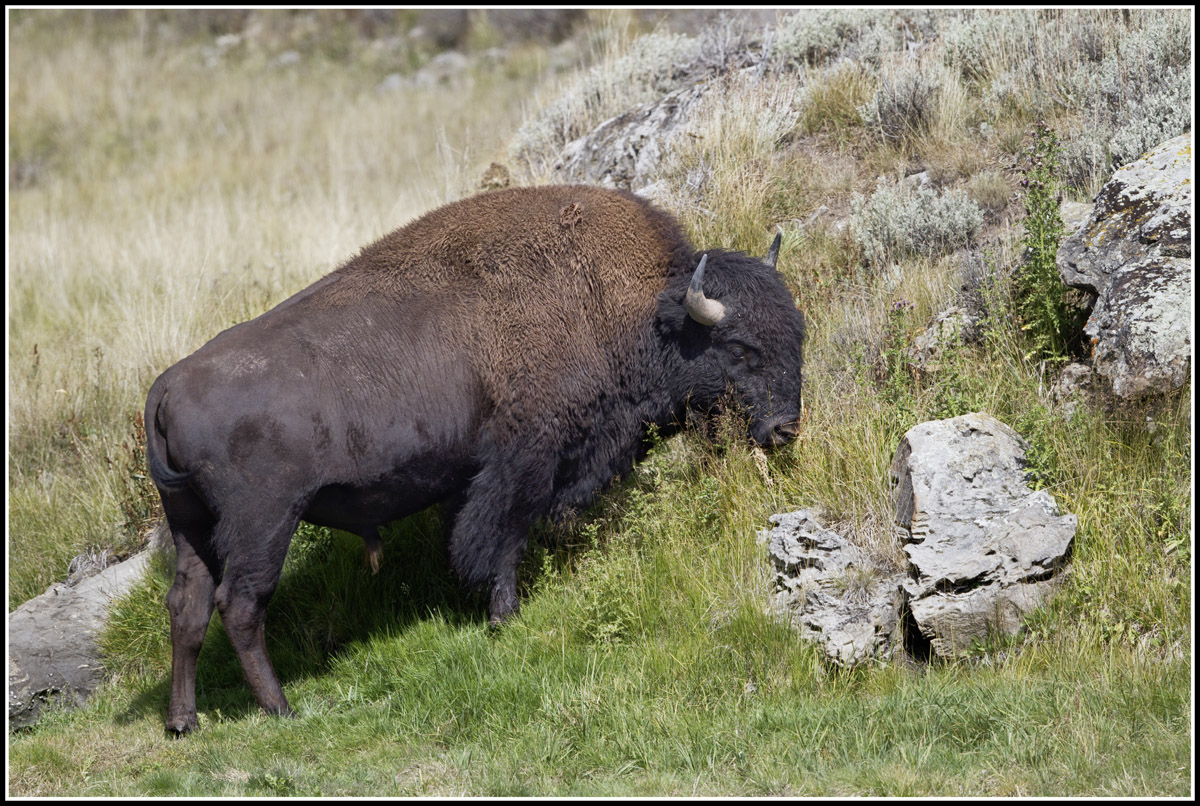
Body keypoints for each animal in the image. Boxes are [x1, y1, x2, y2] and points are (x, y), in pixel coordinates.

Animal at [145, 184, 806, 734]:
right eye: (739, 348)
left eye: (798, 333)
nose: (783, 429)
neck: (630, 309)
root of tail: (167, 388)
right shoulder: (526, 458)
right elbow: (503, 535)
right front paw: (503, 616)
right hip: (263, 522)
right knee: (240, 606)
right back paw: (282, 709)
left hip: (190, 526)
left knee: (187, 607)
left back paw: (184, 722)